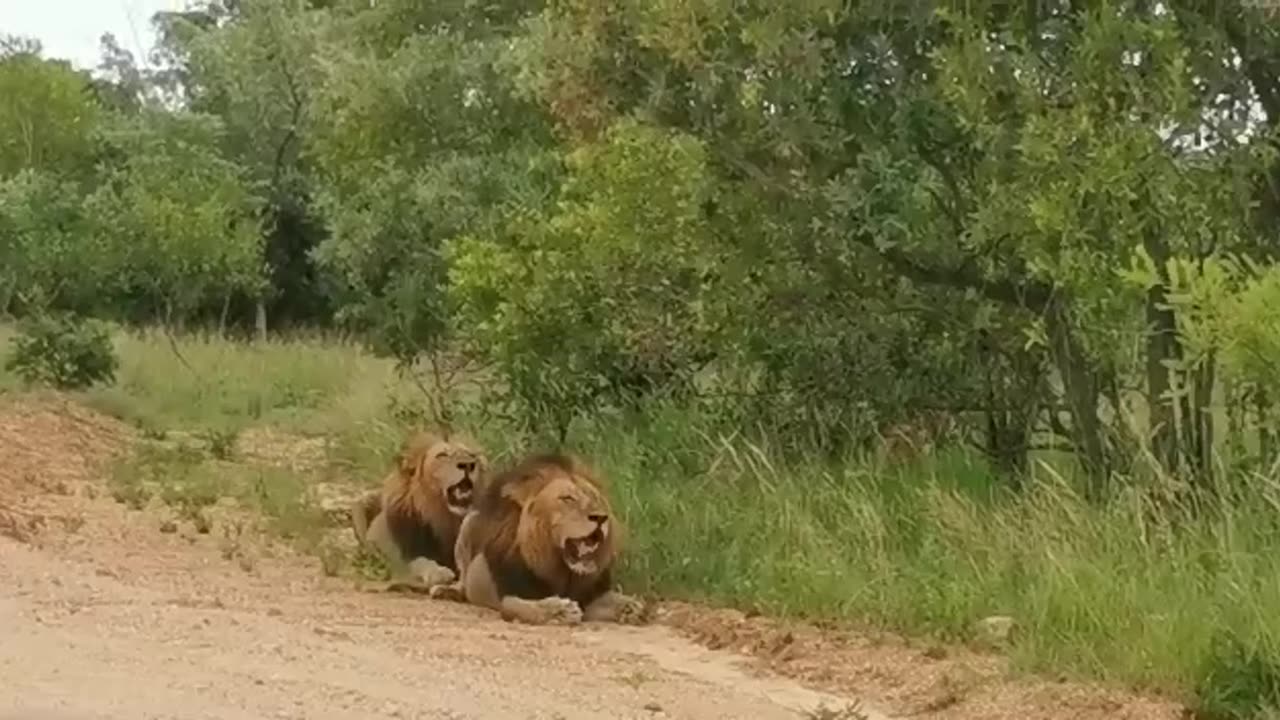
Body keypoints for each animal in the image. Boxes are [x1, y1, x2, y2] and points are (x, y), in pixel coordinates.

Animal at [350, 427, 488, 591]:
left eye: (471, 456)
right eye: (442, 456)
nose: (468, 464)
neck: (445, 518)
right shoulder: (403, 557)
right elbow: (421, 561)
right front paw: (439, 573)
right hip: (360, 506)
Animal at [430, 448, 650, 622]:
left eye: (595, 498)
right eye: (567, 499)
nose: (601, 518)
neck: (561, 570)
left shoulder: (590, 594)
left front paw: (631, 607)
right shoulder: (510, 594)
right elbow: (525, 607)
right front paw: (560, 610)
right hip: (468, 524)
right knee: (462, 579)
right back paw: (446, 591)